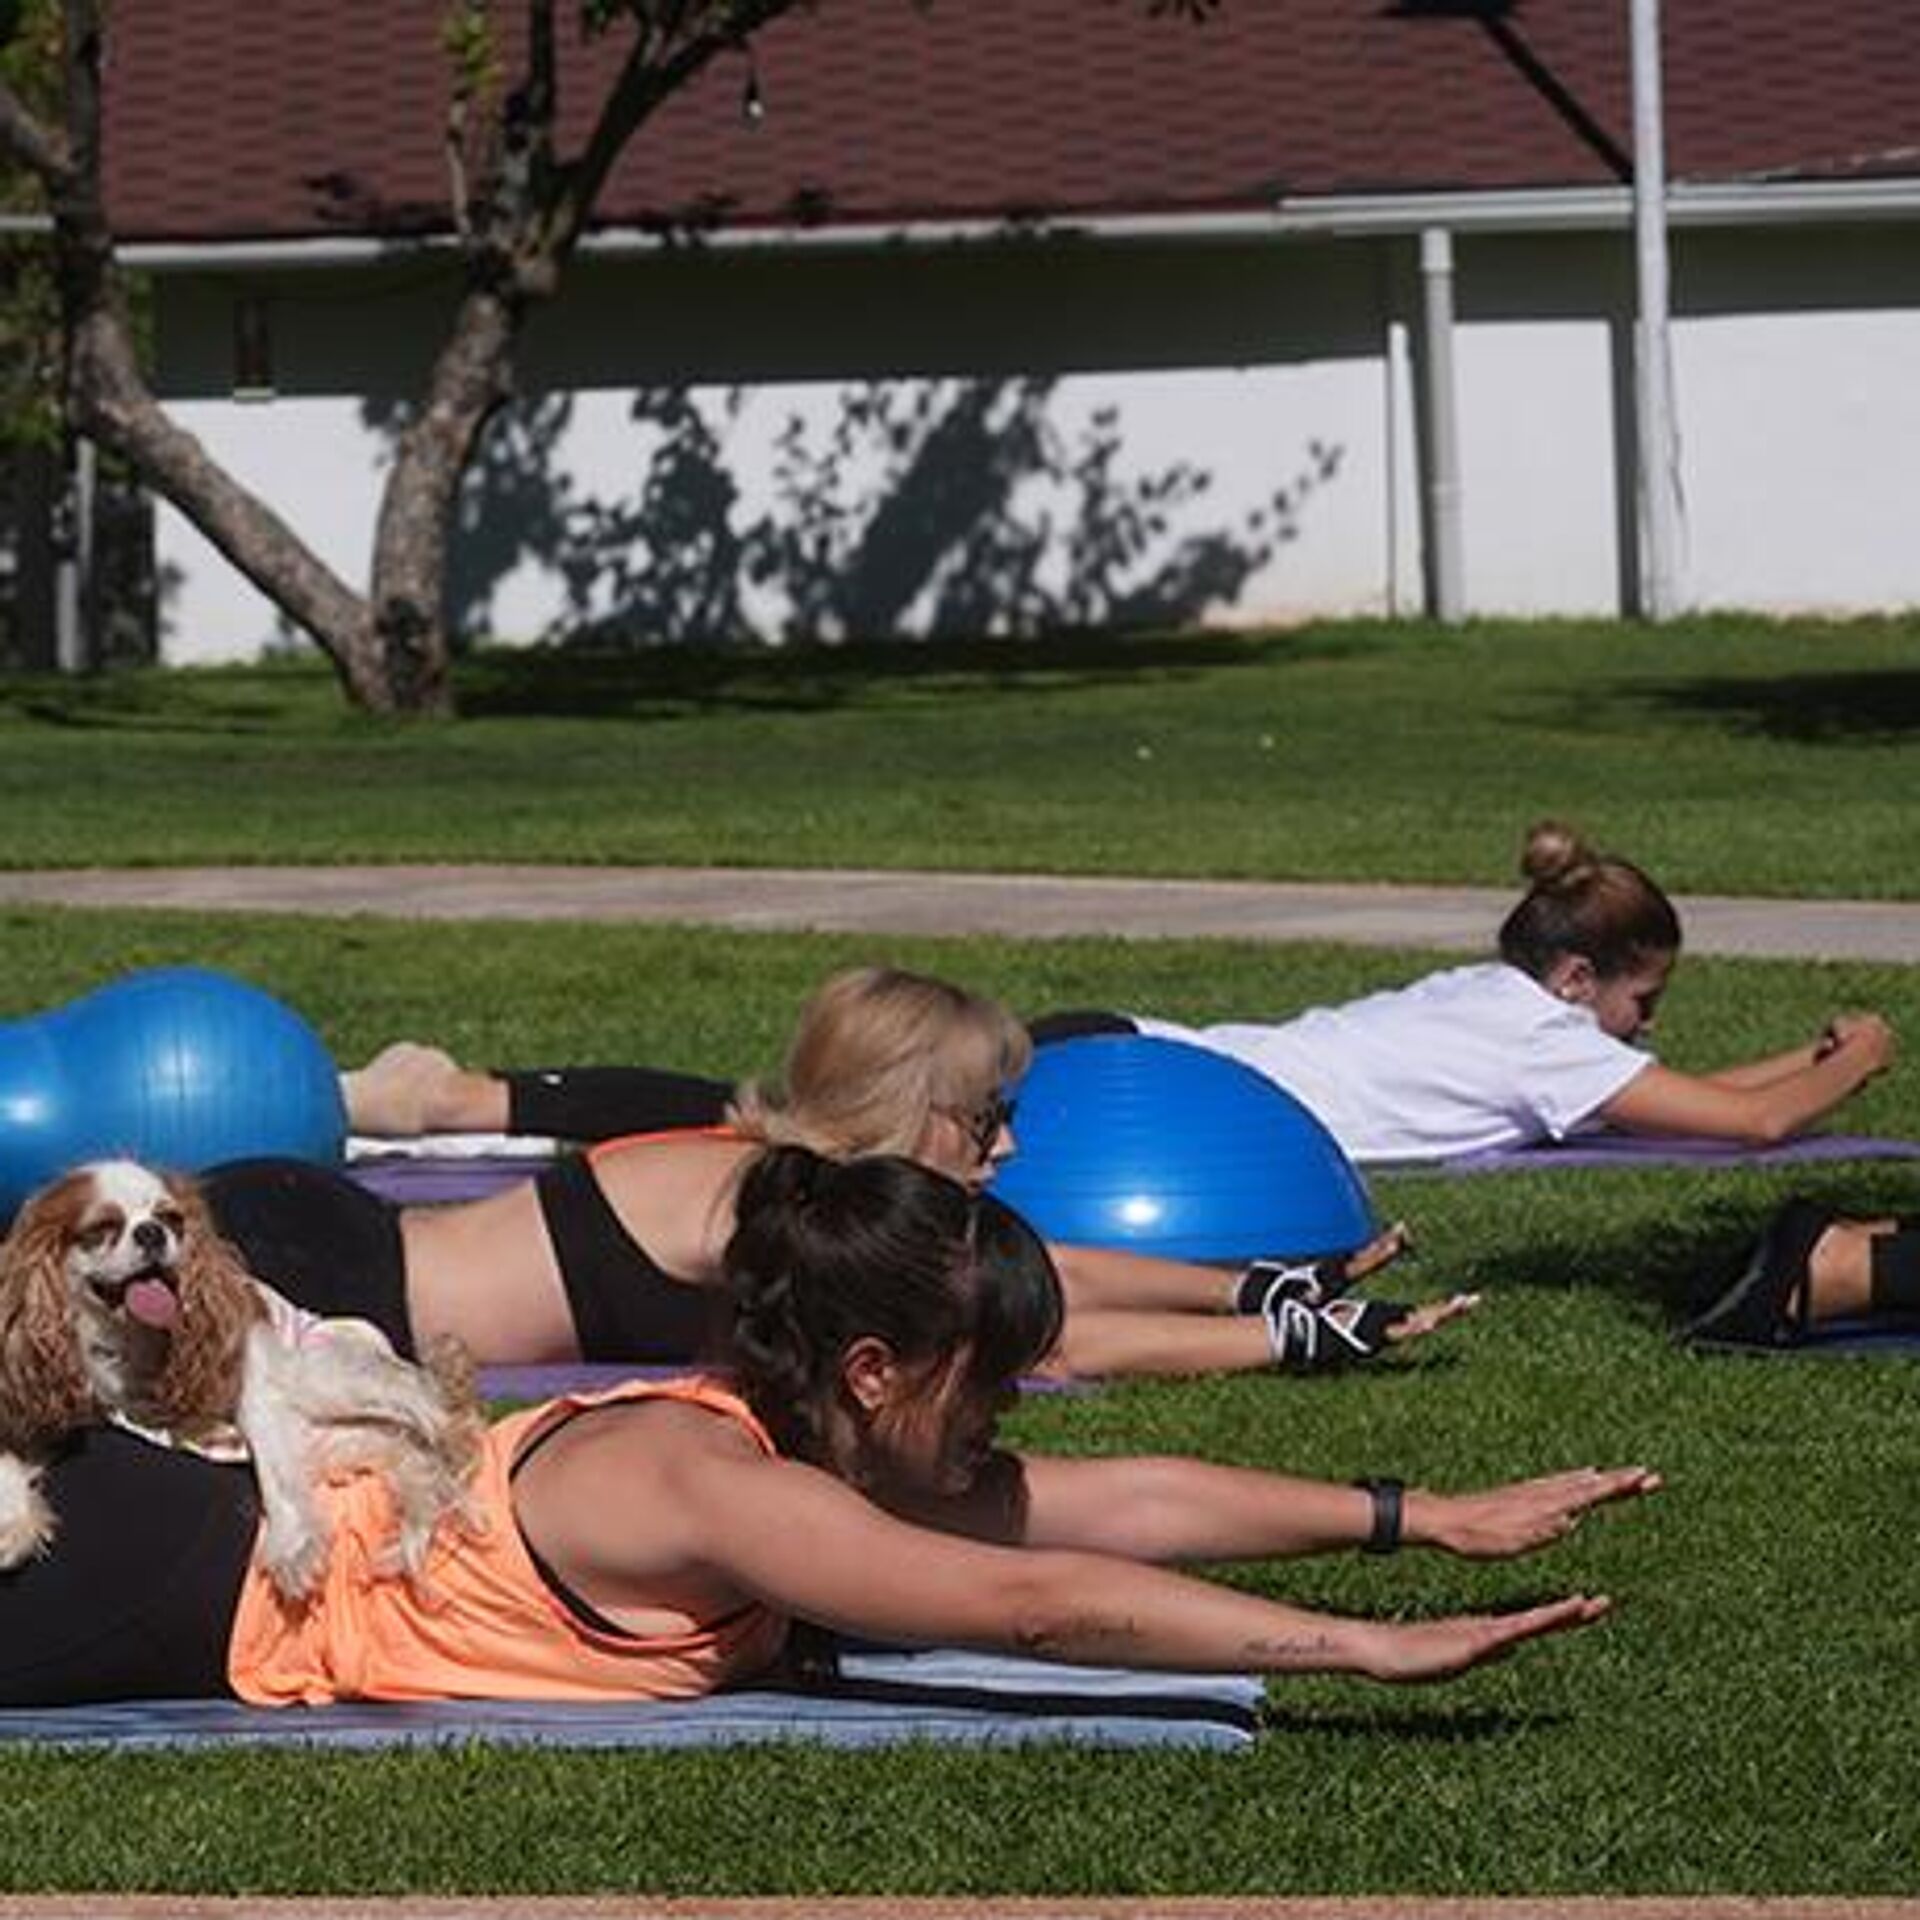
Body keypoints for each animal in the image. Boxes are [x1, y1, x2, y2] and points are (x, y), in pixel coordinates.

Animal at [0, 1158, 484, 1599]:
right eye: (102, 1227)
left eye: (172, 1219)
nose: (153, 1233)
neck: (126, 1342)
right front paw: (14, 1520)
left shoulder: (255, 1372)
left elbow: (272, 1461)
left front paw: (292, 1545)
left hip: (316, 1370)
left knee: (424, 1394)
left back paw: (454, 1435)